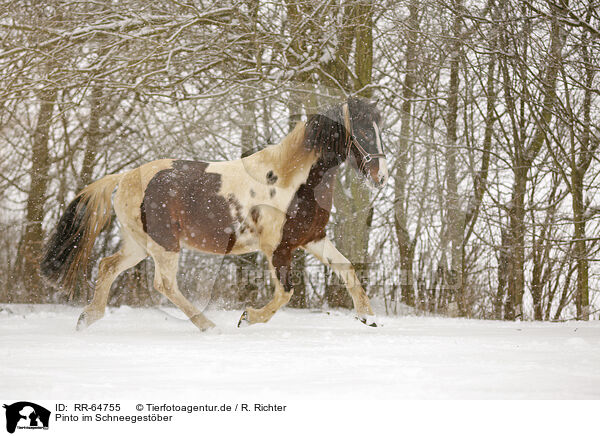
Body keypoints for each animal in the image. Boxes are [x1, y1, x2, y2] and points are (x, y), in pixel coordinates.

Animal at [42, 98, 390, 330]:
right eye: (363, 131)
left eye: (379, 128)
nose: (382, 175)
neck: (289, 180)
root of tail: (124, 177)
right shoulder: (277, 248)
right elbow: (286, 293)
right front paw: (247, 317)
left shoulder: (312, 238)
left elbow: (347, 268)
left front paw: (367, 317)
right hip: (164, 244)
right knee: (164, 284)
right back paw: (208, 326)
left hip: (138, 244)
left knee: (108, 266)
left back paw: (87, 318)